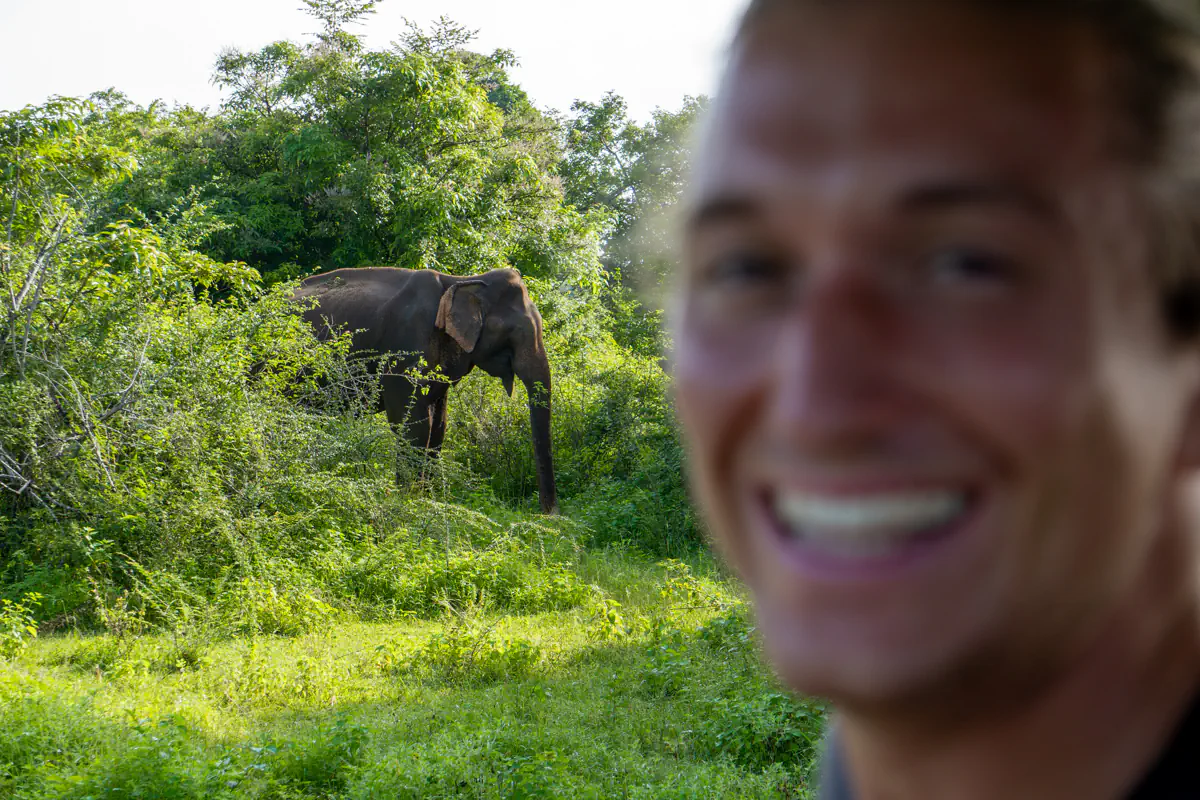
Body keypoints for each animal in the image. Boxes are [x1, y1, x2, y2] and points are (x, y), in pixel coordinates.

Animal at [292, 267, 558, 515]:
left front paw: (428, 499)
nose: (548, 515)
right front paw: (410, 501)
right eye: (514, 332)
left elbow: (439, 425)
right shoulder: (406, 349)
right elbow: (411, 423)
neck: (460, 280)